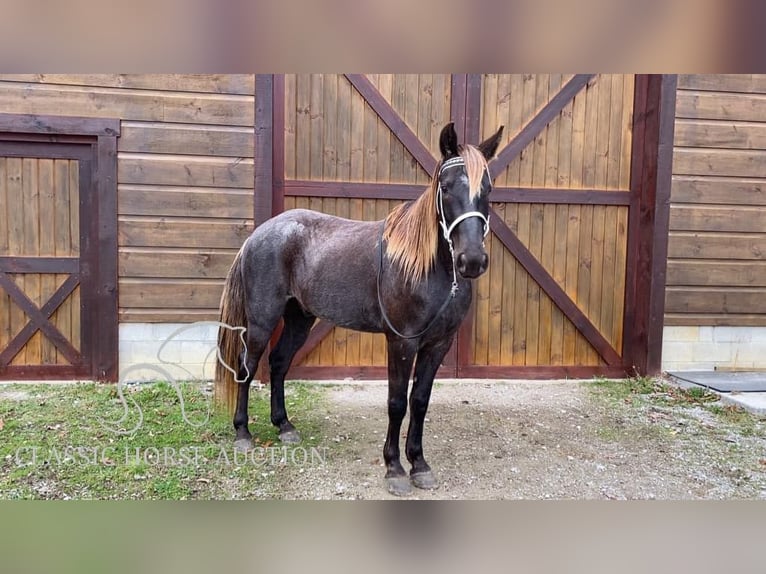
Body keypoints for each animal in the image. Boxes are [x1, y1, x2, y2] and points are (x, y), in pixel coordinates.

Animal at [216, 121, 504, 496]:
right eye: (446, 186)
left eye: (488, 188)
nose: (471, 260)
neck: (428, 269)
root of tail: (259, 234)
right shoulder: (401, 342)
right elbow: (397, 403)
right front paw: (394, 469)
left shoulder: (438, 345)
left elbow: (420, 402)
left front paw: (419, 464)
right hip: (262, 320)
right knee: (247, 367)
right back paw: (242, 432)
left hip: (300, 318)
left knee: (278, 363)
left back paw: (284, 426)